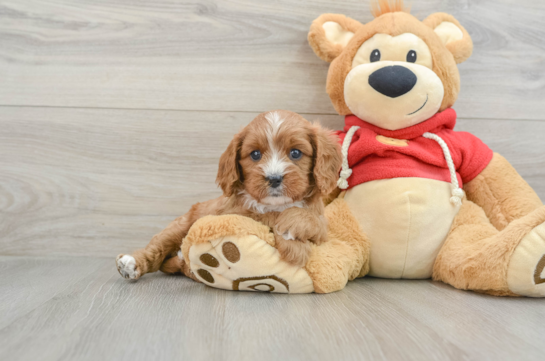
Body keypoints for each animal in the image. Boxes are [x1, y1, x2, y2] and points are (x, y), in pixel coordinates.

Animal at [117, 109, 342, 278]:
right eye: (255, 154)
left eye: (295, 153)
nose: (274, 178)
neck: (276, 204)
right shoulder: (235, 214)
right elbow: (265, 218)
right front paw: (294, 247)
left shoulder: (322, 229)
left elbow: (312, 220)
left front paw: (292, 234)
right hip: (179, 226)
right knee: (157, 248)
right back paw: (131, 264)